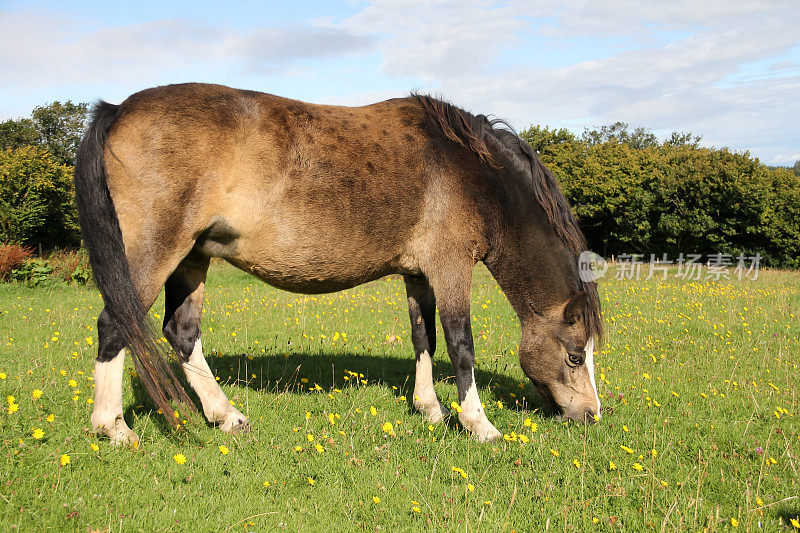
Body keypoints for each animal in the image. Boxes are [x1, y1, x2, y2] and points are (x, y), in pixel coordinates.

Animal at [73, 83, 600, 442]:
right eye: (575, 356)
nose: (592, 415)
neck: (468, 170)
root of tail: (117, 111)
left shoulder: (418, 274)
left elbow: (424, 338)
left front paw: (428, 408)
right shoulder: (451, 269)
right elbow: (460, 343)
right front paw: (478, 423)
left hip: (192, 258)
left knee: (181, 332)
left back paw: (226, 415)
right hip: (154, 253)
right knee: (115, 324)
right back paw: (113, 428)